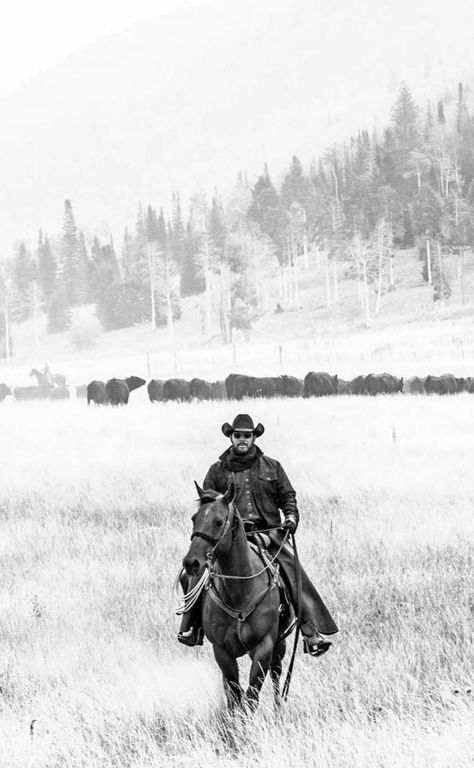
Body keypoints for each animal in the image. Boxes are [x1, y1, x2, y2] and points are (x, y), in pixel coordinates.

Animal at [181, 484, 292, 712]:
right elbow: (234, 693)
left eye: (218, 521)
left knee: (277, 675)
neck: (240, 592)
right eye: (194, 519)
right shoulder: (222, 651)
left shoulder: (264, 647)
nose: (191, 563)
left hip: (279, 645)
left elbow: (251, 696)